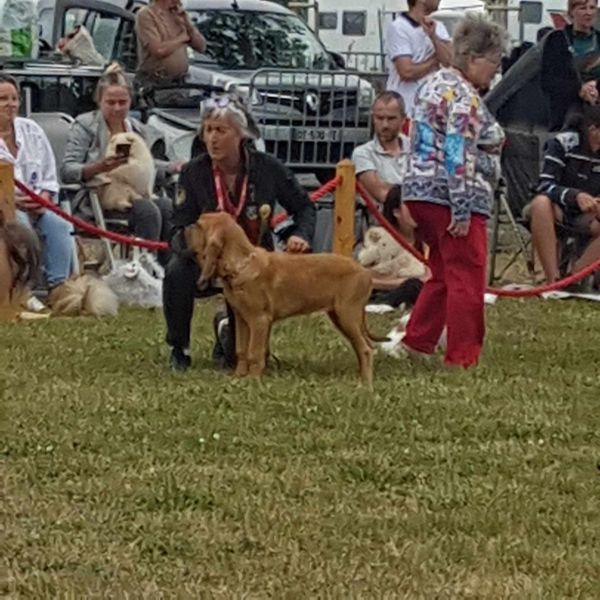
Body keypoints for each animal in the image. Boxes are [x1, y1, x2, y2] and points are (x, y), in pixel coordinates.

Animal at [185, 213, 386, 386]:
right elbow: (241, 350)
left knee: (366, 349)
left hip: (347, 315)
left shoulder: (259, 321)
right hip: (340, 316)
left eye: (198, 225)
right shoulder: (241, 319)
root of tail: (365, 272)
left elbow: (254, 352)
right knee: (365, 346)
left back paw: (364, 385)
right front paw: (239, 376)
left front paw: (252, 379)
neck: (242, 265)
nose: (184, 228)